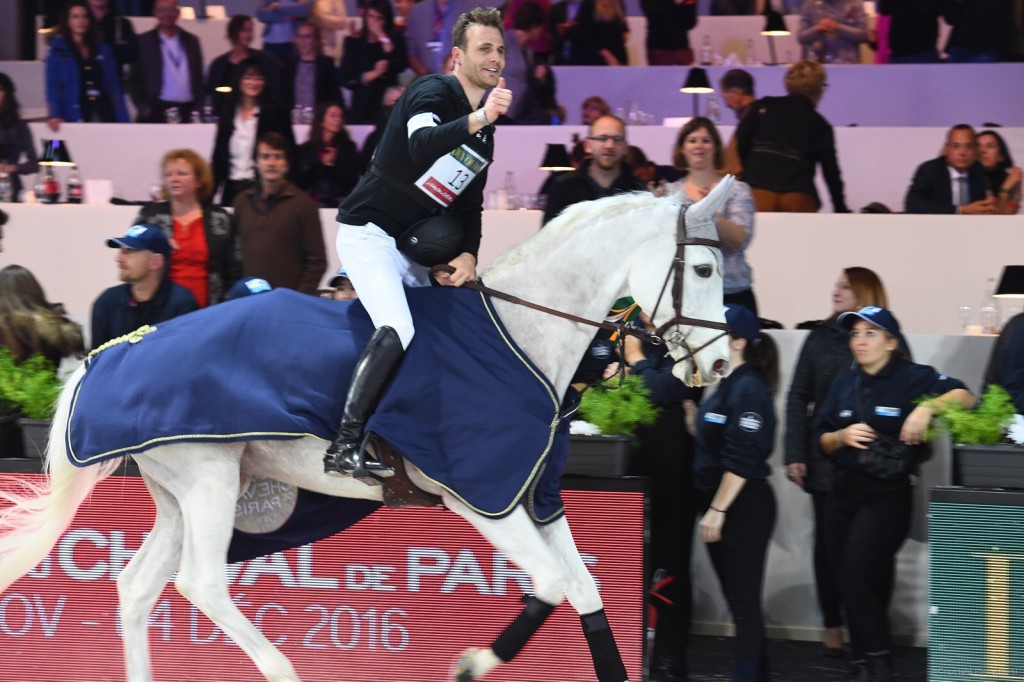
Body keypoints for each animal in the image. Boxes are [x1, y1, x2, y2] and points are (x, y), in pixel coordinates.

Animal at [0, 178, 733, 675]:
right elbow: (552, 584)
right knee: (201, 584)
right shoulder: (484, 501)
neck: (522, 337)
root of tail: (112, 351)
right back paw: (284, 670)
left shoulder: (535, 497)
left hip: (182, 494)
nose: (722, 362)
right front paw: (471, 664)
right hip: (208, 481)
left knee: (137, 588)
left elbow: (582, 590)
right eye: (702, 267)